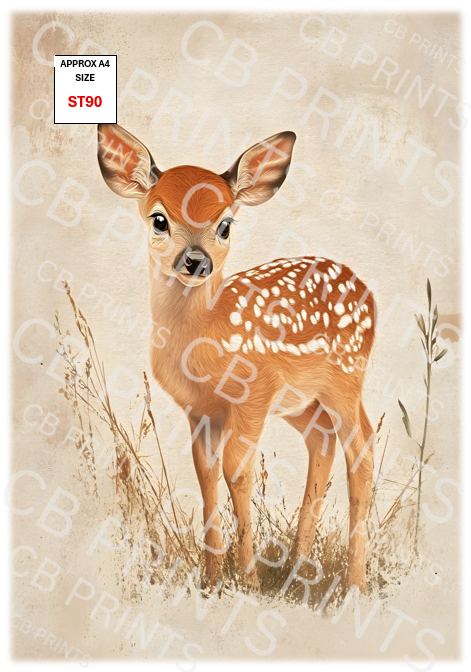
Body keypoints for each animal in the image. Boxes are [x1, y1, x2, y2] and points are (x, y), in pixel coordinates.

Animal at [97, 123, 376, 593]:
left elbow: (236, 472)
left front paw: (247, 582)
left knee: (362, 447)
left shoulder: (254, 392)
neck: (207, 335)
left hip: (346, 376)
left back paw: (354, 584)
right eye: (159, 219)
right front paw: (211, 580)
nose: (196, 261)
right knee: (322, 438)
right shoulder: (200, 409)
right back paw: (297, 571)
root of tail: (368, 292)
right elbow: (206, 476)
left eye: (225, 225)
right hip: (301, 399)